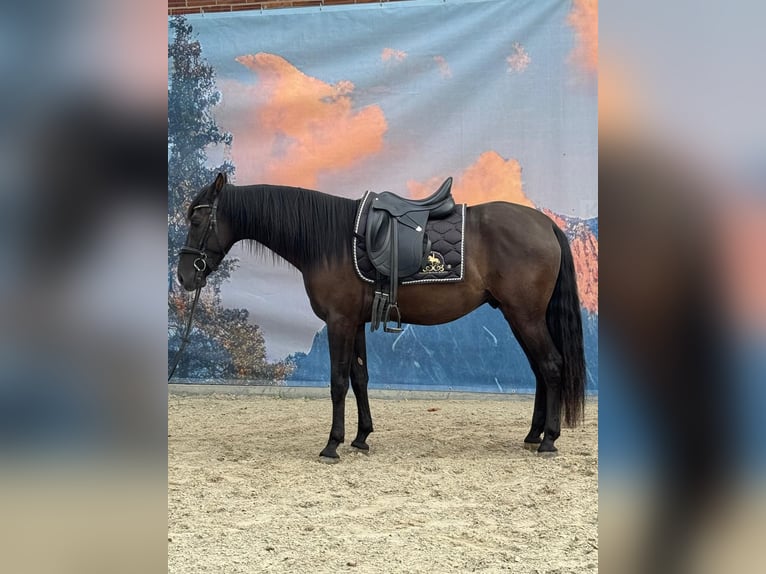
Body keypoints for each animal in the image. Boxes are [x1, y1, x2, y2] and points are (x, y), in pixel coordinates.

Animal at [176, 173, 585, 461]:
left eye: (197, 221)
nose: (184, 277)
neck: (332, 240)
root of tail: (545, 224)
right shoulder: (355, 321)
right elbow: (360, 378)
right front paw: (361, 437)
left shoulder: (339, 321)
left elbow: (338, 381)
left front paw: (332, 444)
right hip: (519, 316)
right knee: (540, 371)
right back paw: (533, 435)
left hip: (525, 315)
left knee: (551, 366)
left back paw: (549, 440)